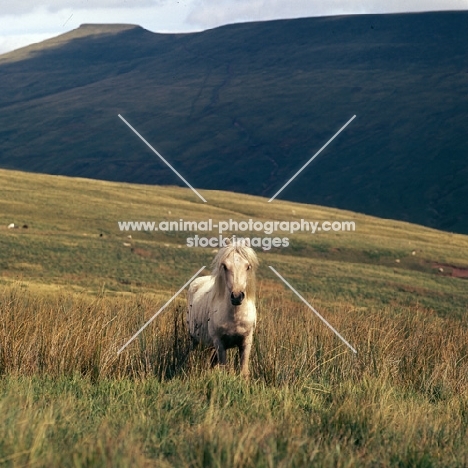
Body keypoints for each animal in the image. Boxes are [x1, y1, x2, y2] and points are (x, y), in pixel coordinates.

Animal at [186, 241, 260, 376]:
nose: (237, 296)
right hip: (194, 339)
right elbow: (223, 369)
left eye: (248, 266)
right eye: (225, 266)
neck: (235, 317)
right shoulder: (220, 343)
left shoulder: (246, 342)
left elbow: (243, 371)